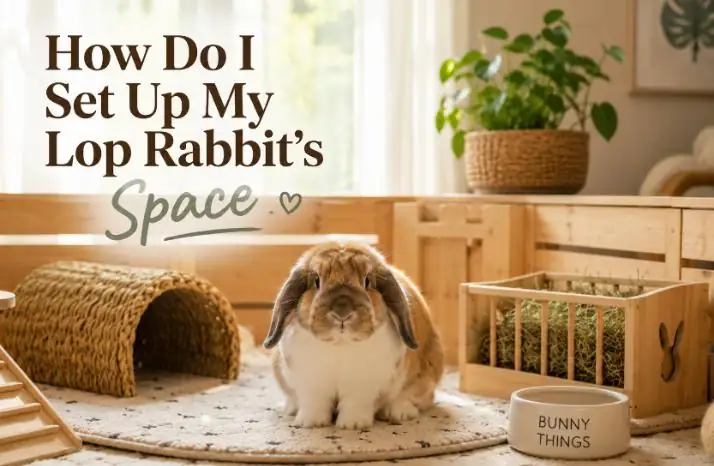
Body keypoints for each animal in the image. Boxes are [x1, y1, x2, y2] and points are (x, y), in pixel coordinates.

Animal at [263, 241, 445, 430]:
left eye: (367, 281)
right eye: (316, 281)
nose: (342, 311)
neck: (341, 344)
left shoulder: (362, 389)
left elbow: (354, 405)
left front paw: (352, 425)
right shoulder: (311, 386)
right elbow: (314, 404)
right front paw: (310, 423)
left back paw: (399, 412)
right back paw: (290, 408)